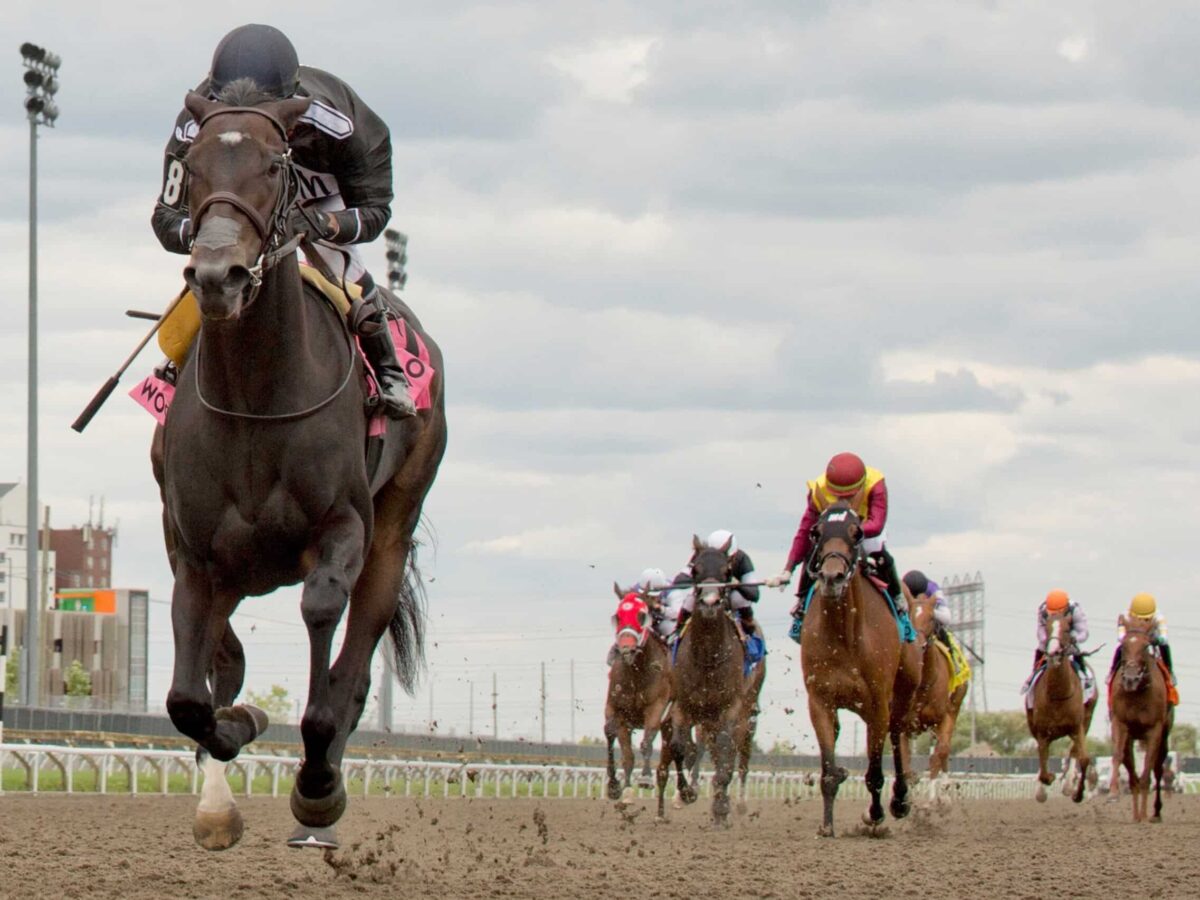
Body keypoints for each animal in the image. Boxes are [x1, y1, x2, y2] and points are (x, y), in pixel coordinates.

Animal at [148, 86, 446, 854]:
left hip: (393, 529)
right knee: (225, 660)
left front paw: (314, 784)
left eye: (275, 164)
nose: (217, 276)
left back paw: (322, 792)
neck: (257, 395)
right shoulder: (194, 552)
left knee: (356, 662)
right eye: (190, 165)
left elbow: (321, 619)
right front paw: (235, 737)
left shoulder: (342, 527)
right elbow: (190, 696)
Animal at [604, 592, 672, 801]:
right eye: (617, 616)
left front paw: (646, 778)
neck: (636, 674)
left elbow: (647, 742)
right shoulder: (616, 708)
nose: (626, 647)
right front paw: (618, 787)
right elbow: (622, 749)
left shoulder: (656, 706)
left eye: (642, 615)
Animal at [796, 508, 916, 840]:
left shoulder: (877, 703)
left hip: (902, 693)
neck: (843, 636)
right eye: (817, 532)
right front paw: (827, 825)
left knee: (898, 734)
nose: (831, 577)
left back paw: (900, 800)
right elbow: (827, 769)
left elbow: (875, 771)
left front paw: (874, 814)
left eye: (856, 533)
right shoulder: (820, 701)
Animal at [1022, 609, 1099, 806]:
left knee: (1073, 751)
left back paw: (1068, 784)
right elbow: (1043, 767)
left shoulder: (1077, 727)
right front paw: (1046, 783)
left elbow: (1083, 758)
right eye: (1048, 629)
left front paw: (1076, 793)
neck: (1057, 694)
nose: (1054, 652)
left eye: (1066, 630)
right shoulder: (1042, 732)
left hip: (1087, 719)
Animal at [1104, 619, 1171, 820]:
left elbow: (1149, 764)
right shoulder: (1120, 723)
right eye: (1124, 646)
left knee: (1158, 768)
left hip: (1164, 737)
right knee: (1130, 767)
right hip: (1130, 738)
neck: (1138, 692)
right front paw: (1113, 793)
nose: (1131, 679)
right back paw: (1136, 814)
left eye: (1146, 646)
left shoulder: (1154, 730)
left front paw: (1146, 812)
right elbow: (1117, 756)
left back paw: (1153, 812)